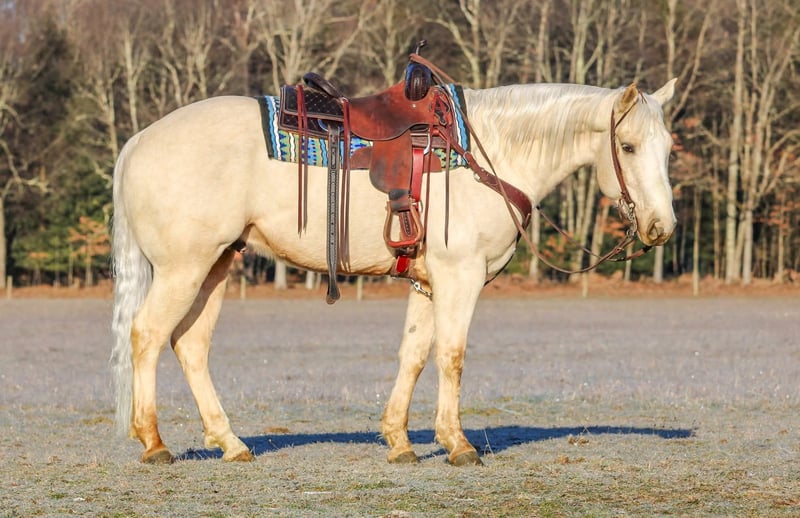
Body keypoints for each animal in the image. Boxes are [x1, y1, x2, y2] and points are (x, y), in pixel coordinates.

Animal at [111, 77, 678, 465]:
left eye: (669, 148)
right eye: (628, 147)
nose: (661, 227)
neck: (492, 154)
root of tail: (138, 141)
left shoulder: (429, 284)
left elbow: (414, 355)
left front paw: (400, 441)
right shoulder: (460, 277)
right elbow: (451, 356)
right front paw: (457, 443)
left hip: (216, 266)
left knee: (190, 346)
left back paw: (230, 442)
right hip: (184, 269)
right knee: (148, 335)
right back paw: (155, 442)